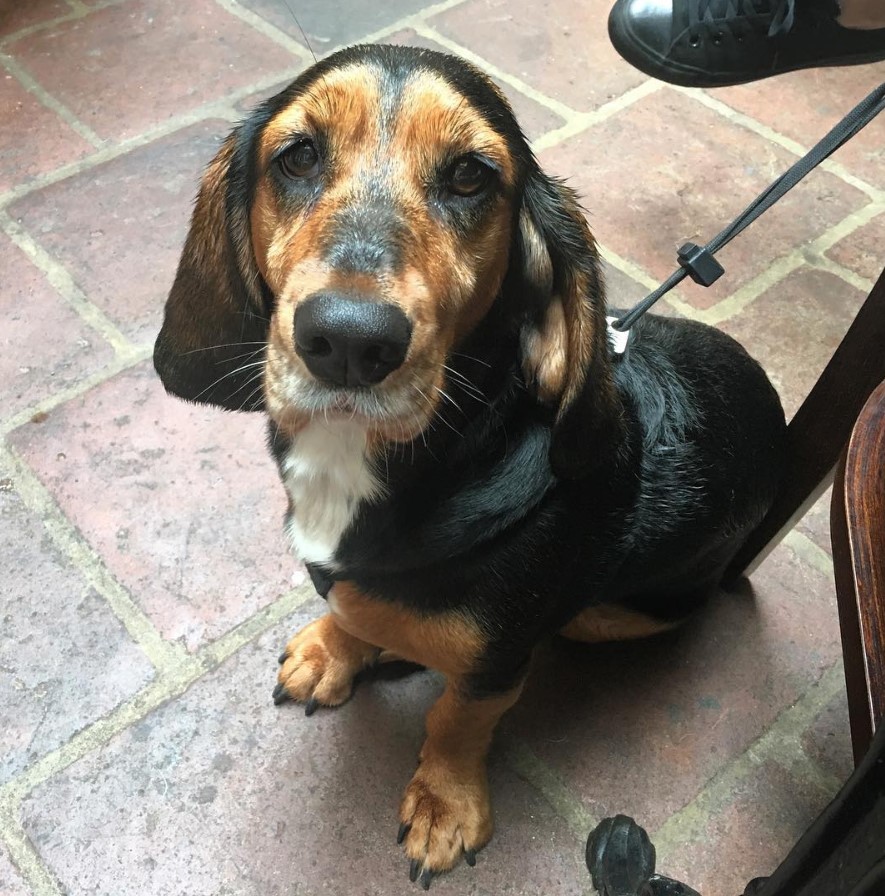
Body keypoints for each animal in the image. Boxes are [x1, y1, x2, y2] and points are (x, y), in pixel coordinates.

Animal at [154, 43, 788, 888]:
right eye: (297, 157)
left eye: (468, 177)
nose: (348, 340)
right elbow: (351, 608)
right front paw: (334, 647)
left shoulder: (499, 660)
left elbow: (457, 716)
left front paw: (444, 806)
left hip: (613, 613)